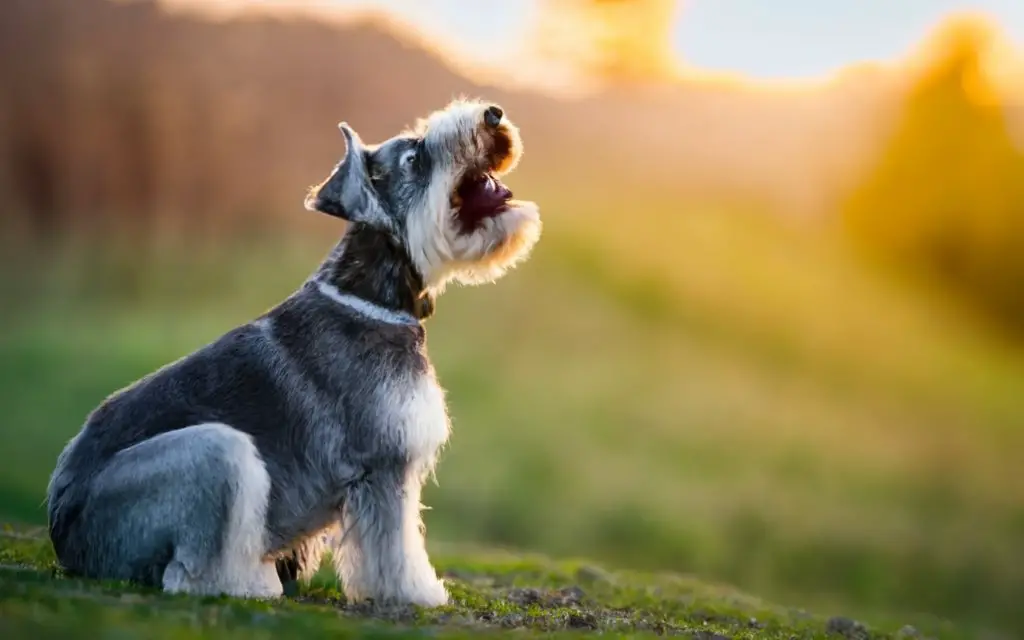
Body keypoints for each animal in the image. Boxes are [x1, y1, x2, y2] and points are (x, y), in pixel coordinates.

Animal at [46, 99, 544, 602]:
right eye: (415, 157)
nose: (493, 114)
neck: (371, 296)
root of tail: (63, 536)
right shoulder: (384, 465)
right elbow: (395, 549)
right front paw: (415, 595)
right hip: (216, 452)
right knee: (191, 574)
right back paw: (254, 583)